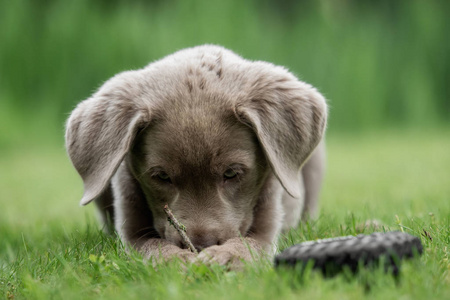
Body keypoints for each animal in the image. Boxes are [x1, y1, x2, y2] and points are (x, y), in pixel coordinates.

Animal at [65, 45, 326, 268]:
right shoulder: (130, 224)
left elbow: (250, 244)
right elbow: (151, 246)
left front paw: (223, 257)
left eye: (231, 173)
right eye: (162, 176)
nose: (200, 246)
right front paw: (177, 260)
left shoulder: (268, 219)